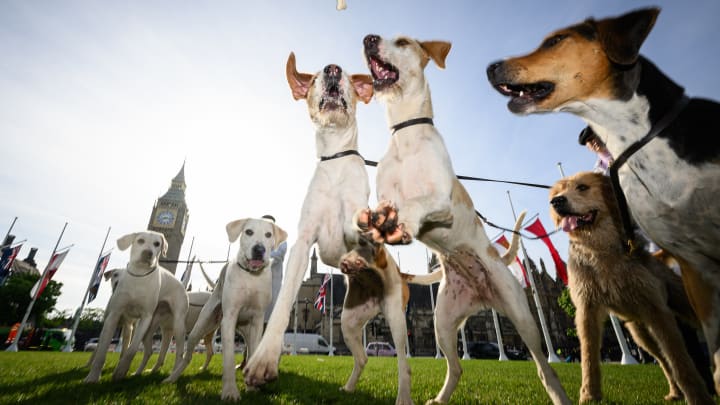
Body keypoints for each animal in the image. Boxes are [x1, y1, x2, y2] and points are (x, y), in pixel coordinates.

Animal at [83, 230, 190, 382]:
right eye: (140, 240)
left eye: (157, 243)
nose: (148, 253)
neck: (140, 275)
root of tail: (182, 284)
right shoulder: (114, 316)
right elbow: (102, 350)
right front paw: (93, 377)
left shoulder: (145, 318)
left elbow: (131, 349)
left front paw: (121, 370)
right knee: (149, 351)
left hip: (178, 326)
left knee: (180, 353)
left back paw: (172, 376)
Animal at [165, 216, 286, 400]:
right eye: (249, 231)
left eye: (268, 234)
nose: (259, 249)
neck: (250, 276)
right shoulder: (229, 319)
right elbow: (228, 357)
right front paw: (230, 392)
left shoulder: (257, 321)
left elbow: (253, 353)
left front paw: (251, 388)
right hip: (199, 328)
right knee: (187, 355)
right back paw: (173, 377)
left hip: (245, 330)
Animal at [358, 34, 572, 404]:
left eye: (402, 41)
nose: (369, 39)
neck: (405, 136)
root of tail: (482, 297)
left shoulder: (441, 202)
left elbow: (419, 205)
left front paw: (403, 222)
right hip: (443, 324)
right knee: (456, 366)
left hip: (522, 317)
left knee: (545, 367)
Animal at [548, 171, 712, 404]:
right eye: (558, 191)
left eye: (583, 187)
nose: (556, 201)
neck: (599, 250)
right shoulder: (586, 310)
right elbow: (588, 357)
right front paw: (589, 395)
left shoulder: (657, 310)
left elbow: (681, 361)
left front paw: (698, 397)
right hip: (640, 333)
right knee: (662, 360)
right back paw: (674, 392)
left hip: (679, 306)